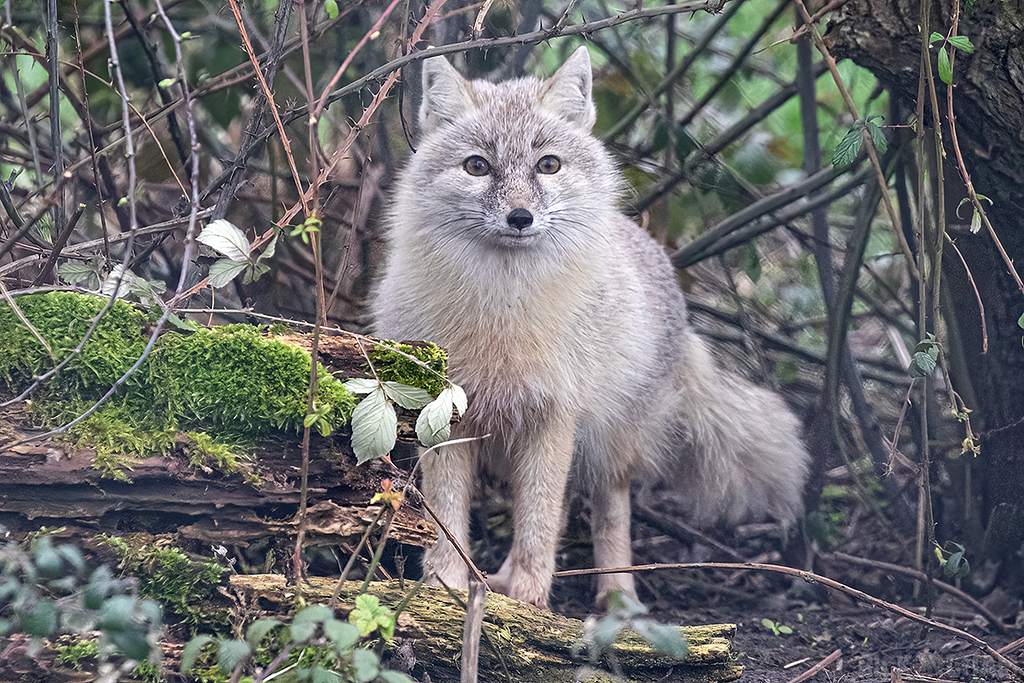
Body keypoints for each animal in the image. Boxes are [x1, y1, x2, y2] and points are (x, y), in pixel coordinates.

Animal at [370, 46, 810, 608]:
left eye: (548, 165)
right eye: (477, 166)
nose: (520, 217)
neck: (501, 312)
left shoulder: (555, 414)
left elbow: (539, 517)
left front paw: (530, 598)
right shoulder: (448, 416)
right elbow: (447, 513)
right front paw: (445, 586)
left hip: (606, 445)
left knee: (607, 510)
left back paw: (616, 597)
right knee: (558, 510)